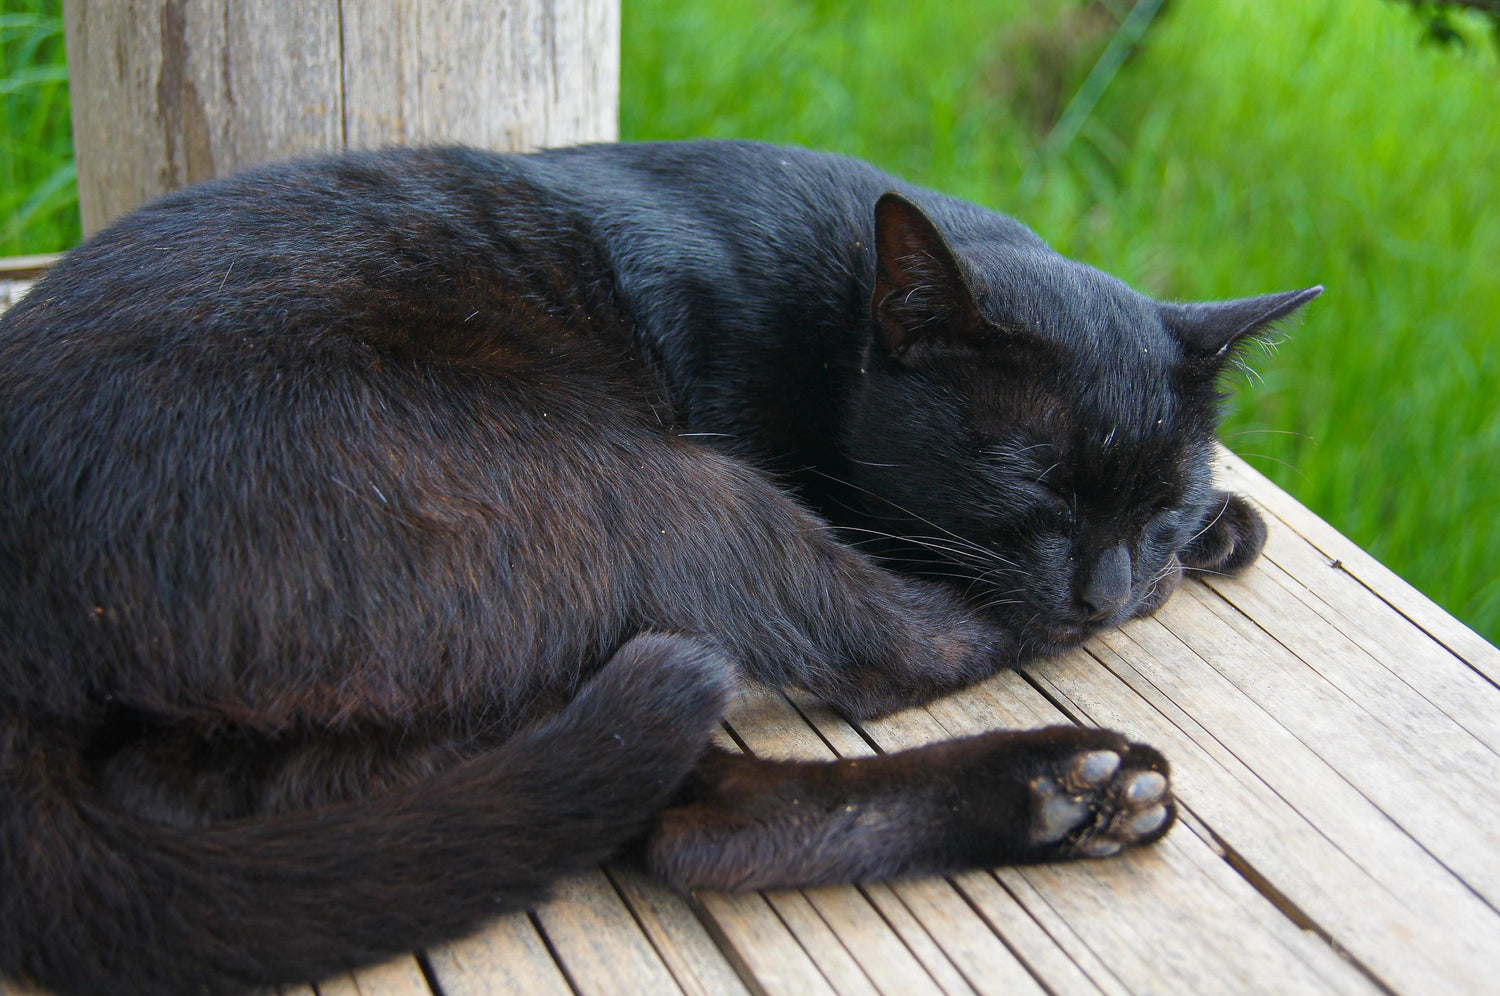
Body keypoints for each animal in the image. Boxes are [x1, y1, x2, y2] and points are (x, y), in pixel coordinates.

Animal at [0, 141, 1314, 996]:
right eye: (1035, 483)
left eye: (1159, 500)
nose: (1108, 590)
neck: (837, 308)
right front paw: (1200, 554)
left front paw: (1219, 526)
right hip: (660, 487)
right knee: (895, 657)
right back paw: (1058, 766)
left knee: (677, 821)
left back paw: (1066, 796)